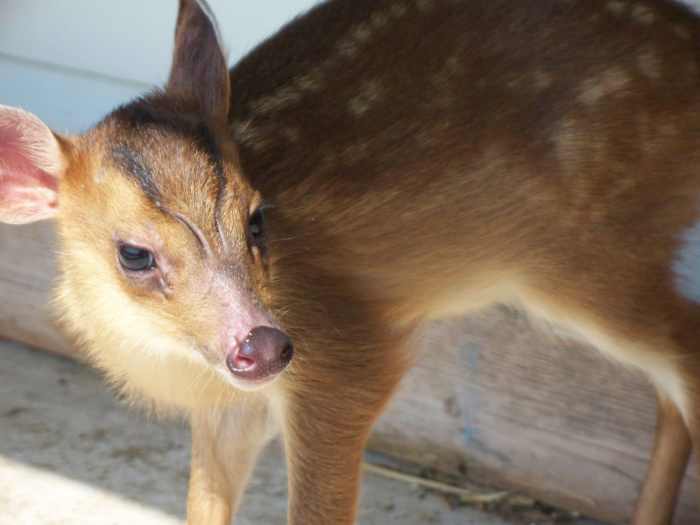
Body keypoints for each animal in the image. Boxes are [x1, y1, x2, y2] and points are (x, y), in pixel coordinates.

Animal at [1, 0, 699, 523]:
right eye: (134, 253)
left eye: (256, 217)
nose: (264, 344)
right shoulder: (230, 403)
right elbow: (203, 502)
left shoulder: (346, 354)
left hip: (591, 248)